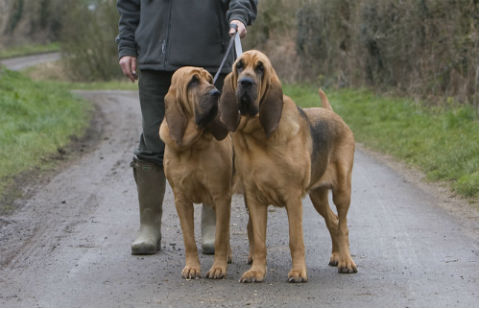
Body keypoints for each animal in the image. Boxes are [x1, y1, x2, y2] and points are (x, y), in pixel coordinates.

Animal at [160, 67, 233, 280]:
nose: (216, 93)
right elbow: (189, 239)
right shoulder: (181, 200)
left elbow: (219, 237)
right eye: (193, 81)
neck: (192, 144)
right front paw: (192, 267)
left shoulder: (221, 195)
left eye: (210, 80)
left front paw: (218, 268)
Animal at [219, 50, 358, 282]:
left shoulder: (293, 198)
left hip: (342, 191)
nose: (245, 82)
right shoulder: (255, 199)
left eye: (260, 68)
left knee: (343, 224)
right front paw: (257, 271)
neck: (258, 134)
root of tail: (333, 114)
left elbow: (296, 240)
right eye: (239, 66)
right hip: (317, 195)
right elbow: (259, 241)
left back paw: (346, 261)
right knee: (333, 220)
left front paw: (298, 272)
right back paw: (336, 256)